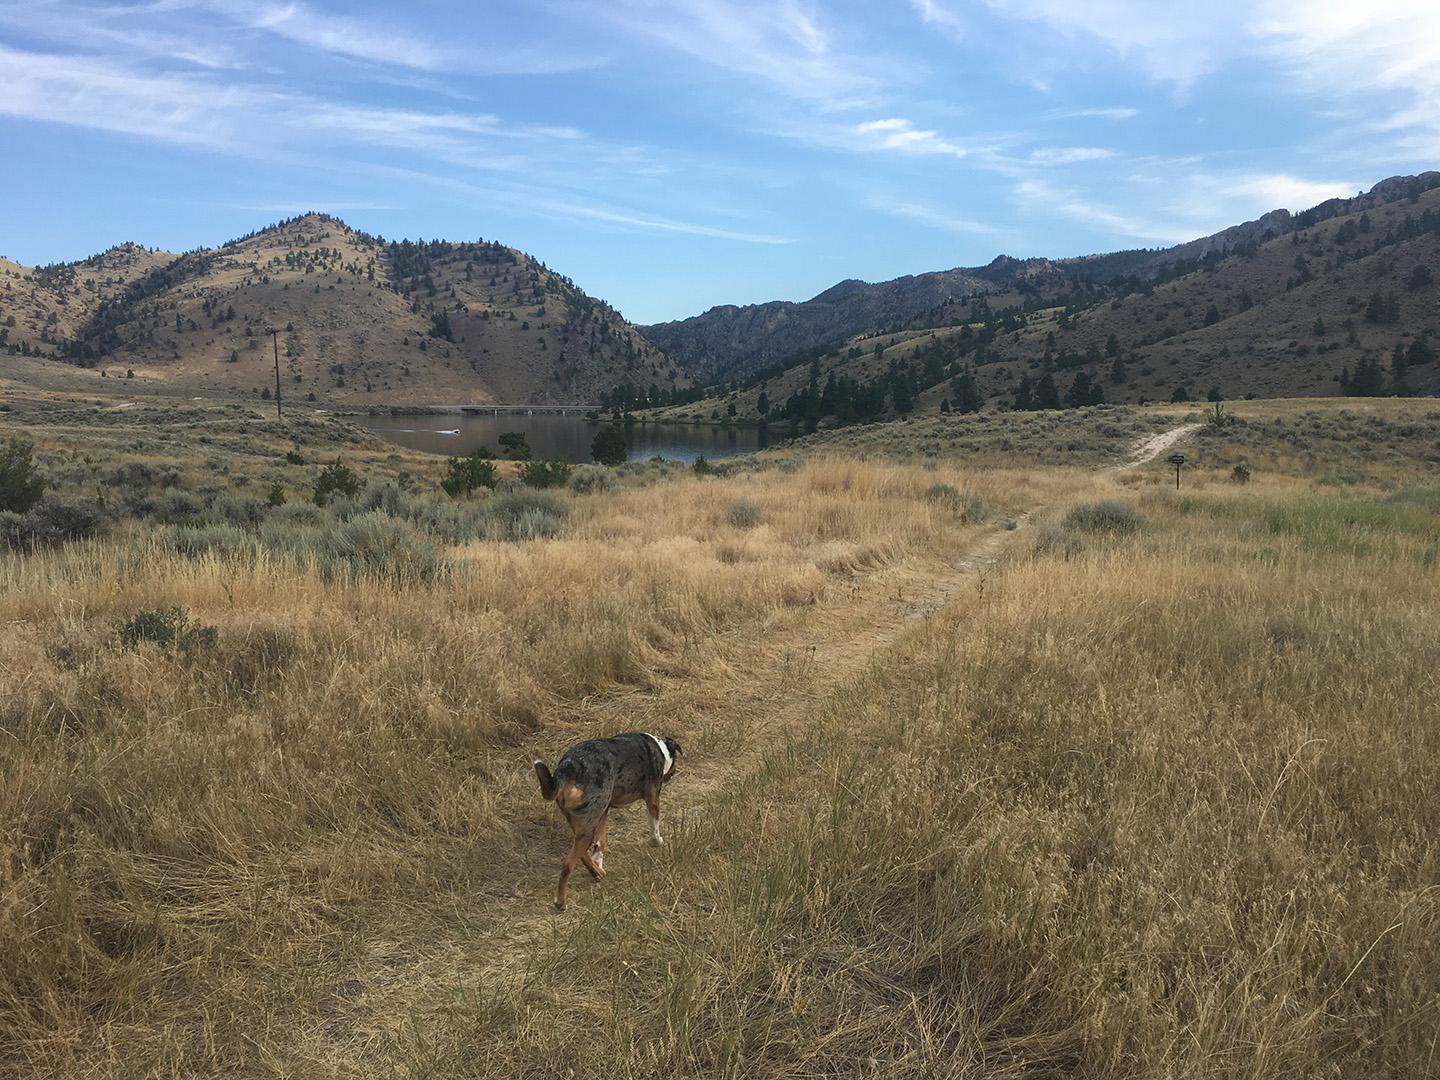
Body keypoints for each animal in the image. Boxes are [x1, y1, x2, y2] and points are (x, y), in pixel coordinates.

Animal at [535, 737, 685, 915]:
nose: (673, 773)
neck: (659, 747)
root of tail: (572, 763)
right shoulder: (653, 798)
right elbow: (654, 826)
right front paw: (657, 841)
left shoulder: (604, 811)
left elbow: (601, 842)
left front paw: (598, 859)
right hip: (588, 827)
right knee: (567, 865)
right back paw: (561, 902)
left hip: (585, 823)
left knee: (583, 854)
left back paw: (597, 873)